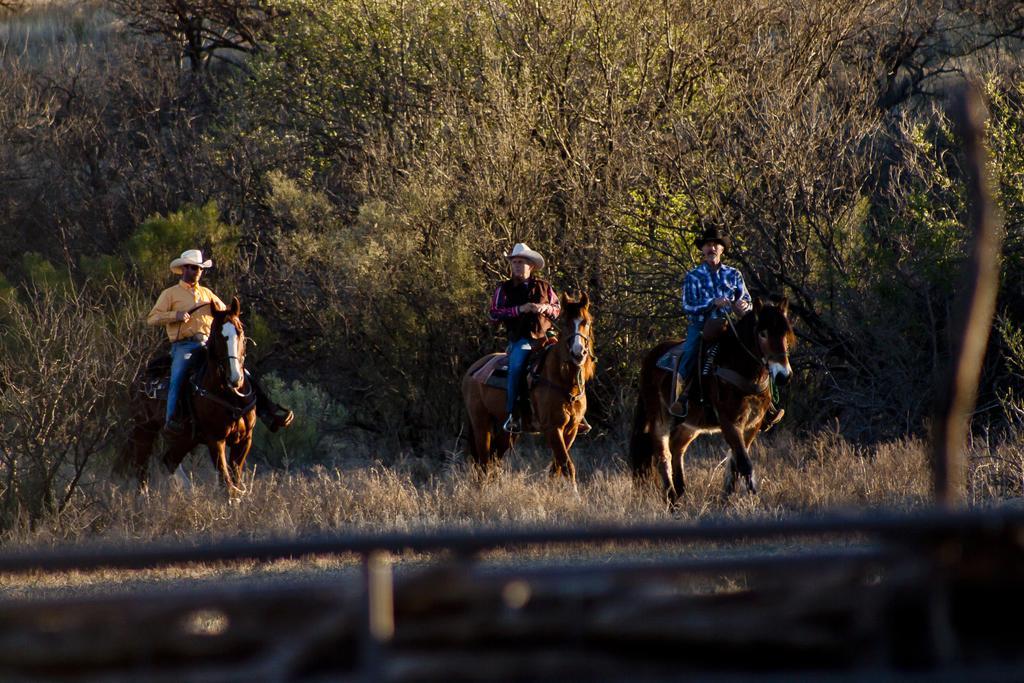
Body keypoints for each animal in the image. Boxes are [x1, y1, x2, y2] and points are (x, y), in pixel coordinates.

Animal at [462, 290, 598, 489]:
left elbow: (556, 467)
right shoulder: (552, 428)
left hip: (508, 430)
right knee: (484, 461)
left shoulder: (571, 428)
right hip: (481, 423)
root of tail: (472, 369)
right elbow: (566, 465)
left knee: (494, 456)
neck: (562, 379)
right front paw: (574, 494)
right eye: (565, 323)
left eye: (586, 322)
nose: (578, 353)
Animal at [626, 296, 794, 501]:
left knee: (677, 448)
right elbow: (744, 462)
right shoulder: (729, 422)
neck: (741, 369)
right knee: (662, 455)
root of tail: (650, 358)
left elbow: (736, 463)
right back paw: (671, 497)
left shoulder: (752, 425)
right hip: (660, 418)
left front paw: (727, 499)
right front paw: (754, 499)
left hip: (690, 424)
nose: (784, 376)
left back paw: (680, 494)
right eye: (762, 333)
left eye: (785, 333)